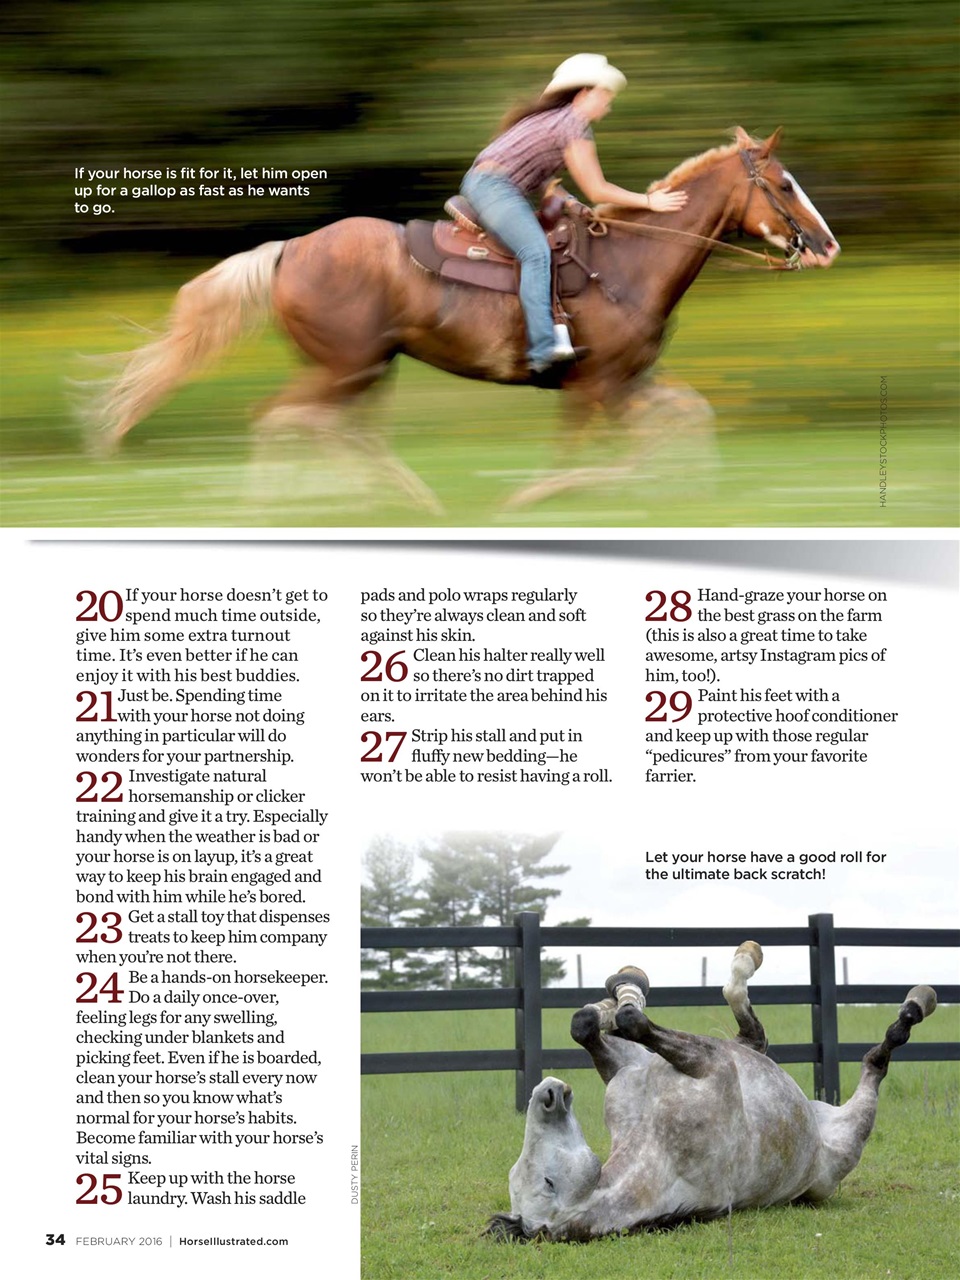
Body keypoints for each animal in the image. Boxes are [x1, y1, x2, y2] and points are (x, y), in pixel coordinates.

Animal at [88, 128, 838, 510]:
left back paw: (401, 499)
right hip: (345, 367)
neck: (631, 260)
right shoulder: (596, 387)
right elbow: (591, 457)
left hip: (365, 369)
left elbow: (690, 418)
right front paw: (543, 499)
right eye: (785, 183)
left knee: (337, 431)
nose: (827, 245)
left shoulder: (631, 382)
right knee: (282, 421)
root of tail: (288, 250)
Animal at [488, 942, 936, 1241]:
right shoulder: (713, 1064)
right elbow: (633, 1021)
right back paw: (915, 1005)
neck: (659, 1149)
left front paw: (612, 999)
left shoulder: (629, 1075)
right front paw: (622, 999)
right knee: (872, 1062)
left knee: (750, 1034)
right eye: (548, 1182)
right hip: (849, 1138)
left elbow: (588, 1024)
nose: (547, 1093)